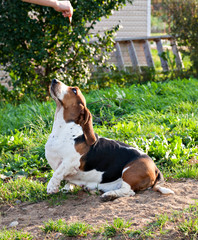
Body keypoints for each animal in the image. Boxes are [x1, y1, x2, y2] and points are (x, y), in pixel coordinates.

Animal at [45, 79, 174, 201]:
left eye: (74, 90)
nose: (54, 80)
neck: (64, 129)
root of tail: (156, 168)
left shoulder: (70, 162)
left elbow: (57, 173)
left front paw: (52, 187)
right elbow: (66, 179)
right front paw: (67, 188)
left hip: (129, 172)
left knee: (128, 192)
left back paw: (109, 195)